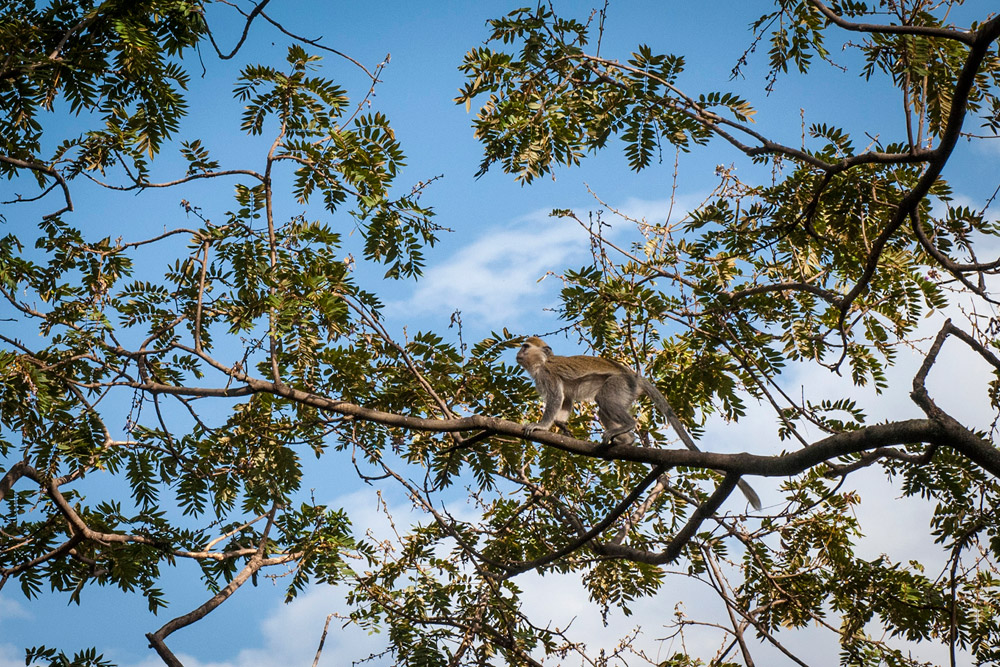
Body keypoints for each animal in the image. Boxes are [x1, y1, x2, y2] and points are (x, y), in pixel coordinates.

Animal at [520, 336, 760, 516]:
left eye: (525, 346)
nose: (518, 354)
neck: (542, 362)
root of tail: (634, 377)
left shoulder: (547, 375)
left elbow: (555, 399)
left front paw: (542, 426)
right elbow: (566, 400)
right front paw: (562, 425)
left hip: (619, 385)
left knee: (604, 400)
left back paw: (627, 427)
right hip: (626, 392)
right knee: (603, 407)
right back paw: (626, 440)